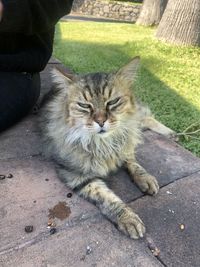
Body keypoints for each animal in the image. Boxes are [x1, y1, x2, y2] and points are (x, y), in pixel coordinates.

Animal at [39, 57, 174, 240]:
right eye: (84, 105)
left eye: (113, 102)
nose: (101, 121)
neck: (103, 144)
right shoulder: (77, 175)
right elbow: (108, 199)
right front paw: (128, 218)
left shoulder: (125, 144)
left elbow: (134, 163)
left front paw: (145, 178)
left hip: (136, 120)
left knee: (146, 117)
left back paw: (172, 133)